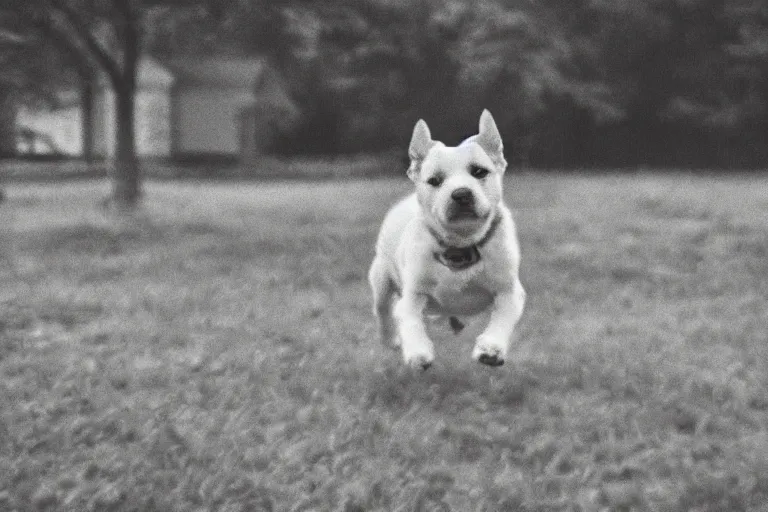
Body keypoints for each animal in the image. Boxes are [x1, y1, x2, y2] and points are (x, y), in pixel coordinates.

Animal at [368, 110, 524, 370]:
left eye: (479, 172)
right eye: (434, 181)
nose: (461, 193)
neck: (460, 245)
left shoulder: (509, 290)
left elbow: (504, 315)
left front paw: (491, 348)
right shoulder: (412, 295)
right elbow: (409, 318)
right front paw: (418, 351)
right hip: (380, 277)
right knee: (382, 309)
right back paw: (390, 338)